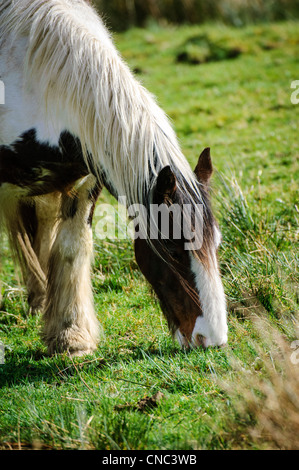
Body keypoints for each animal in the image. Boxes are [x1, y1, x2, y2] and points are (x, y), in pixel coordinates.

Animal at [0, 0, 229, 356]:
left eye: (217, 242)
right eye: (173, 249)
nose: (213, 339)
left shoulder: (85, 182)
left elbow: (71, 247)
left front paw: (71, 337)